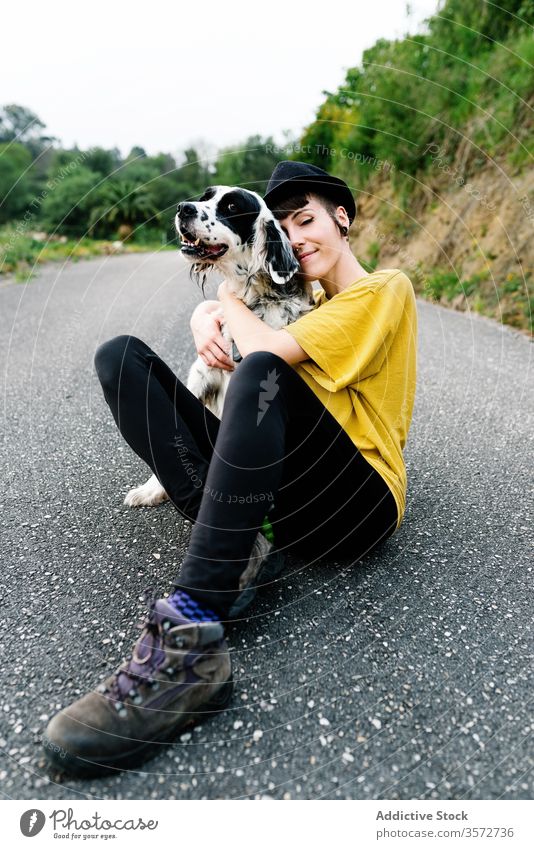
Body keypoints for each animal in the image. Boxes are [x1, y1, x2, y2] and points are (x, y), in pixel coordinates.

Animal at [124, 184, 318, 504]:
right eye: (205, 197)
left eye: (232, 207)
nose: (183, 208)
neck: (252, 301)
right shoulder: (201, 377)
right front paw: (151, 489)